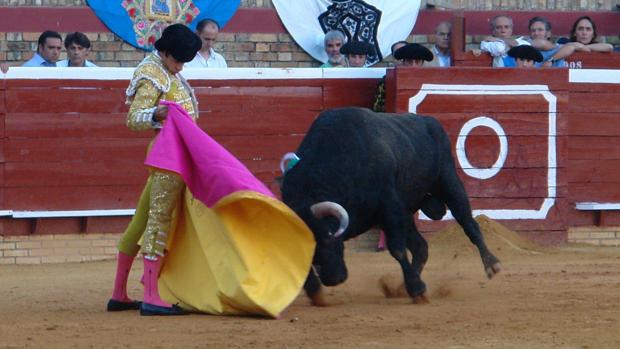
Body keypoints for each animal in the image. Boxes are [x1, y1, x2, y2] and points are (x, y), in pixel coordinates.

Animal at [280, 106, 504, 304]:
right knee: (421, 247)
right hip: (407, 211)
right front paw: (315, 292)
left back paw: (492, 265)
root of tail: (429, 121)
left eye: (327, 237)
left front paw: (418, 290)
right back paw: (404, 286)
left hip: (449, 183)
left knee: (469, 224)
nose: (332, 279)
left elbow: (396, 249)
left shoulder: (390, 206)